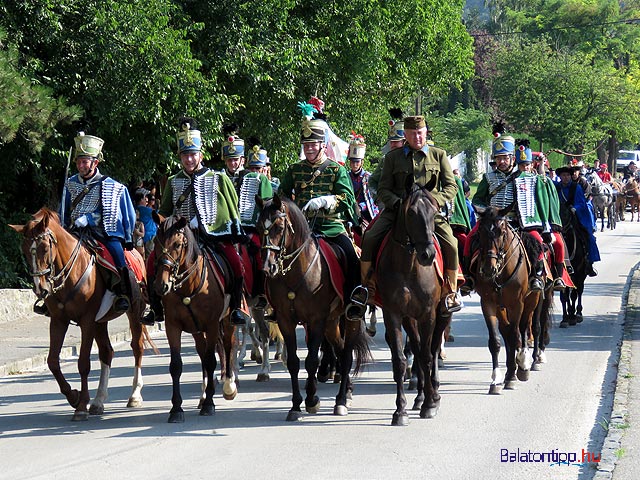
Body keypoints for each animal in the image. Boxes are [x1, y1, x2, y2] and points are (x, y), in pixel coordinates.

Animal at [9, 206, 151, 420]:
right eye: (25, 250)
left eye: (44, 248)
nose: (40, 289)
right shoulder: (59, 321)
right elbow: (52, 361)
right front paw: (74, 397)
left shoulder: (87, 321)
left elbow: (83, 362)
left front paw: (81, 405)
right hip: (101, 321)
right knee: (106, 352)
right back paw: (99, 401)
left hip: (135, 311)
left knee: (137, 347)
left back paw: (134, 395)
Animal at [153, 216, 238, 422]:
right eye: (156, 244)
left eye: (177, 244)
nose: (161, 286)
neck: (188, 287)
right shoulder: (173, 326)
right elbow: (176, 365)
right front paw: (176, 409)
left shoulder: (212, 325)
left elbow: (211, 360)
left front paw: (210, 404)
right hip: (196, 329)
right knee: (202, 352)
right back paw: (203, 394)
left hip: (226, 320)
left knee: (228, 345)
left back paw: (228, 386)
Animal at [258, 194, 372, 420]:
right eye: (259, 228)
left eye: (279, 226)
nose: (268, 267)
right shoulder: (285, 320)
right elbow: (294, 362)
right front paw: (295, 405)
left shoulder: (316, 319)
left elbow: (311, 360)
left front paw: (311, 400)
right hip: (332, 322)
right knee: (339, 348)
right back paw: (346, 389)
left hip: (348, 318)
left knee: (346, 354)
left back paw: (341, 400)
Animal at [376, 186, 450, 426]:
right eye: (410, 213)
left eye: (434, 212)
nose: (428, 255)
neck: (407, 265)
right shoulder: (393, 313)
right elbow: (400, 360)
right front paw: (400, 411)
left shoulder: (428, 314)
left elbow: (427, 355)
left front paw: (430, 405)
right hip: (410, 318)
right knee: (417, 349)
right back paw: (420, 396)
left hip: (442, 314)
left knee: (431, 349)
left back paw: (434, 393)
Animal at [470, 206, 540, 394]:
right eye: (480, 231)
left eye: (501, 232)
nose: (488, 269)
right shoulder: (488, 304)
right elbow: (495, 341)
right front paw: (497, 380)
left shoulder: (517, 304)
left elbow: (517, 335)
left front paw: (519, 369)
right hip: (502, 308)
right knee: (507, 332)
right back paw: (511, 371)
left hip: (533, 300)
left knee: (525, 328)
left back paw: (525, 364)